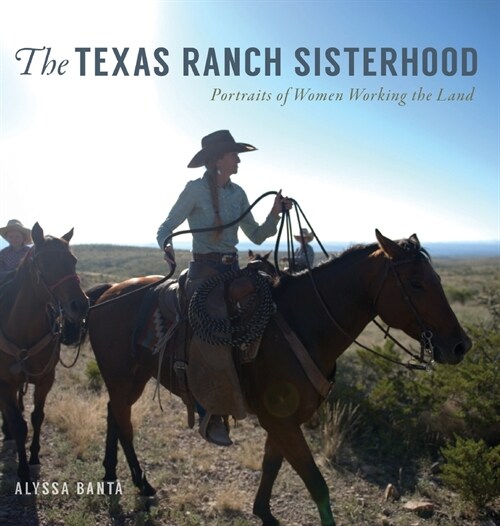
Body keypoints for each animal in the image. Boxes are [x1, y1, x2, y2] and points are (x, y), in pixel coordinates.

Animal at [0, 224, 88, 490]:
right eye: (45, 262)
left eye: (73, 260)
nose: (80, 305)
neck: (23, 327)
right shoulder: (6, 382)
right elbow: (19, 425)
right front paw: (23, 473)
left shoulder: (45, 379)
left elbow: (37, 417)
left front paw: (35, 458)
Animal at [68, 232, 470, 526]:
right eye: (415, 284)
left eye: (436, 279)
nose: (460, 345)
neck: (304, 324)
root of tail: (106, 293)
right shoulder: (282, 422)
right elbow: (316, 484)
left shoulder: (284, 421)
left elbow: (271, 465)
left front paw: (263, 512)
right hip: (124, 378)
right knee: (124, 423)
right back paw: (140, 482)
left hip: (130, 379)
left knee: (113, 416)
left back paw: (114, 479)